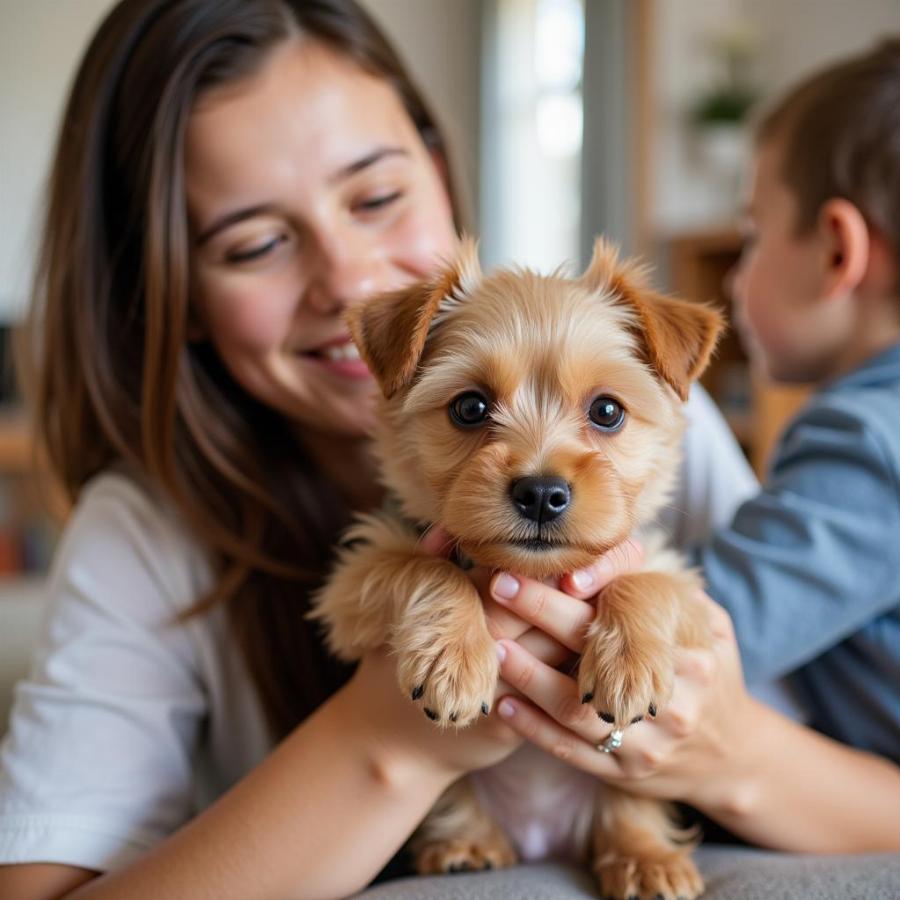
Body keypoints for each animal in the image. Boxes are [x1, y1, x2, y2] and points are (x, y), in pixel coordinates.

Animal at [310, 236, 724, 896]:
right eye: (470, 406)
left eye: (607, 411)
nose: (540, 492)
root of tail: (542, 839)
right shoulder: (355, 577)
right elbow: (428, 569)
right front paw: (455, 661)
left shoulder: (686, 590)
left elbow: (644, 583)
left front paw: (629, 664)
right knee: (457, 805)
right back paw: (467, 845)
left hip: (625, 789)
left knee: (629, 809)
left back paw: (646, 860)